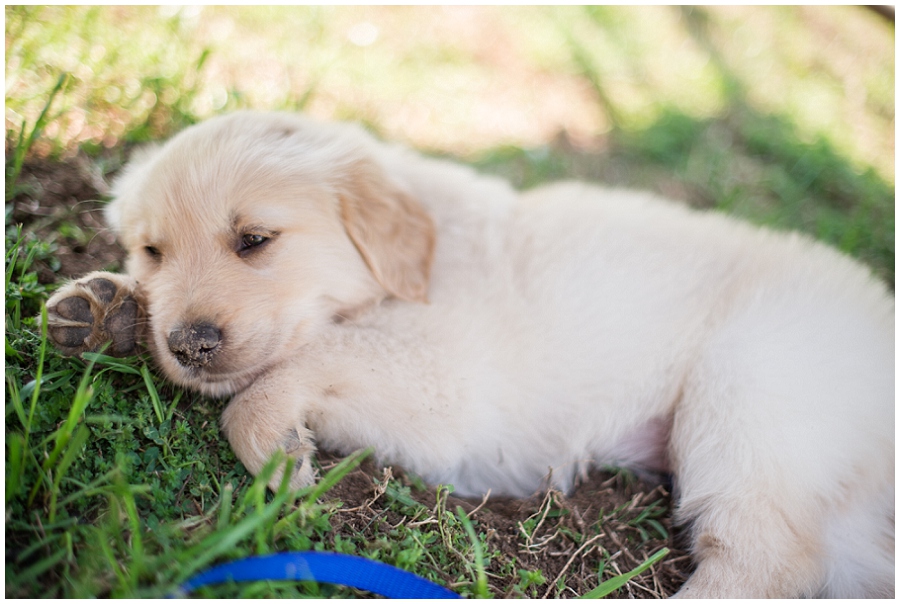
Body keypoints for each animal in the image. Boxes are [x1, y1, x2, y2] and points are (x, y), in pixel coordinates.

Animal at [47, 113, 892, 600]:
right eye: (153, 251)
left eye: (253, 240)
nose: (188, 343)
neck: (419, 262)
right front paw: (110, 308)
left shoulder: (442, 383)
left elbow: (275, 380)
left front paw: (280, 454)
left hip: (749, 393)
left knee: (768, 559)